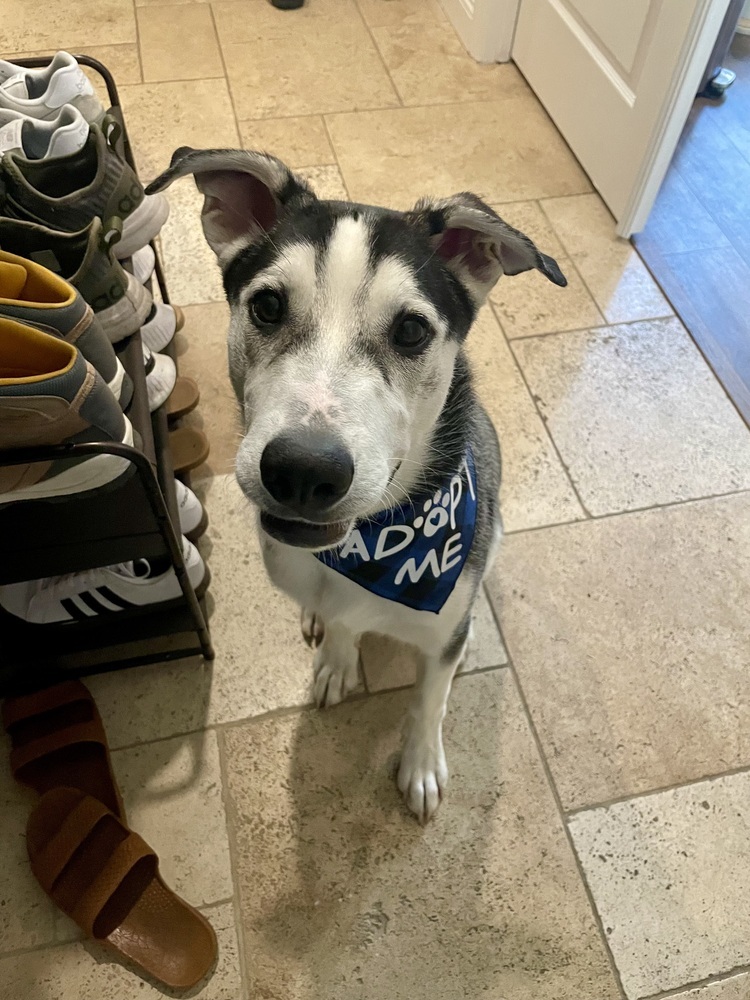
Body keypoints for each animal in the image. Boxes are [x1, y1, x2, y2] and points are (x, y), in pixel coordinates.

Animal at [150, 150, 568, 820]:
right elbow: (341, 623)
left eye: (412, 331)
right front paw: (336, 656)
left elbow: (429, 698)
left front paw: (420, 765)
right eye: (267, 306)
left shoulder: (440, 623)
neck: (378, 549)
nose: (303, 470)